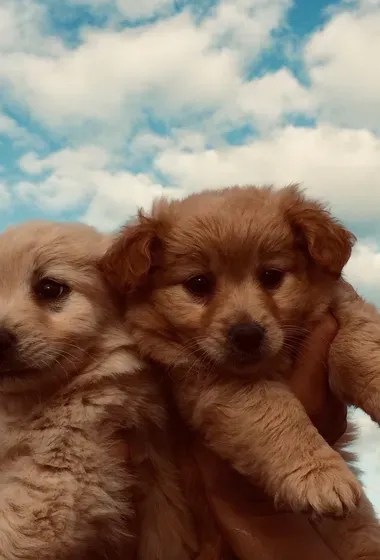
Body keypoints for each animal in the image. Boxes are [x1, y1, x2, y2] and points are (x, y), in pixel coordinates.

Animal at [100, 185, 380, 560]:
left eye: (271, 276)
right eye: (199, 283)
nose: (247, 335)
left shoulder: (344, 309)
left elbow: (359, 346)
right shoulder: (215, 385)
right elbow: (275, 415)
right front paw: (320, 474)